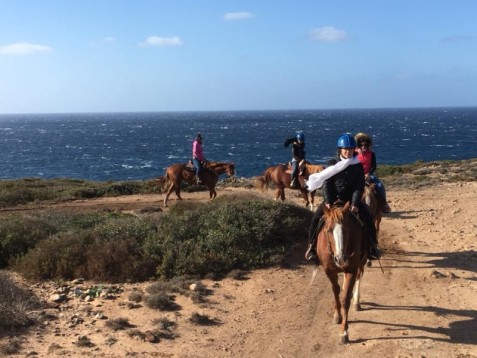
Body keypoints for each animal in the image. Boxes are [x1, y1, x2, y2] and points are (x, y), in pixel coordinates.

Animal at [314, 201, 370, 344]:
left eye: (347, 229)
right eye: (328, 230)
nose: (340, 258)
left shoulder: (352, 269)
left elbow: (344, 298)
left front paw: (344, 332)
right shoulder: (328, 270)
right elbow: (335, 291)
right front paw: (337, 315)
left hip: (361, 262)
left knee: (359, 276)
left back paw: (356, 301)